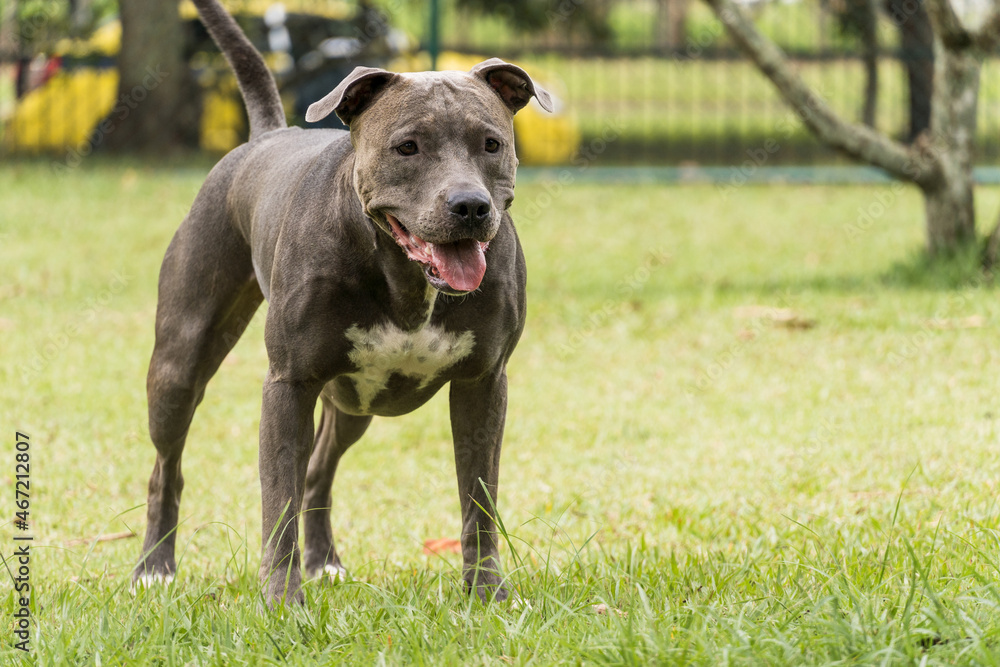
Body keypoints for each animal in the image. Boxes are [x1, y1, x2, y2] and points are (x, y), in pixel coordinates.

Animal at [131, 0, 556, 604]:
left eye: (491, 144)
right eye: (408, 146)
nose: (471, 206)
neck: (406, 278)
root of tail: (266, 134)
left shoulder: (482, 385)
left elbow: (478, 500)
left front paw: (487, 595)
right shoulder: (289, 385)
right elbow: (277, 501)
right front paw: (283, 601)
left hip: (355, 402)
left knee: (318, 470)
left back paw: (323, 561)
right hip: (179, 365)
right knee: (167, 466)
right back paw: (154, 566)